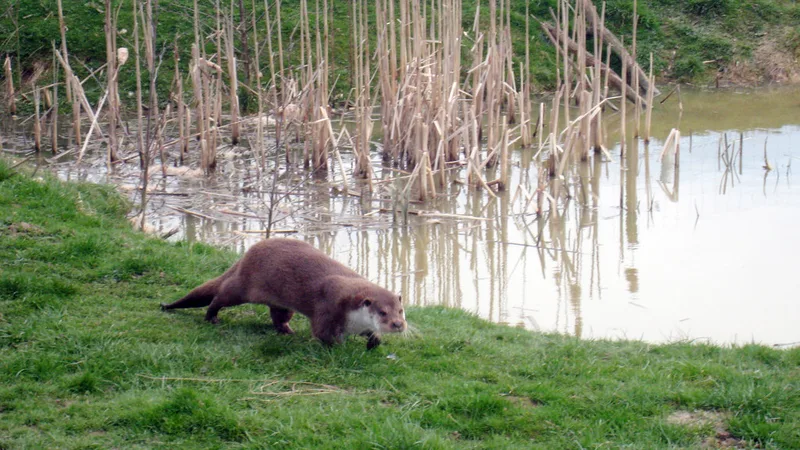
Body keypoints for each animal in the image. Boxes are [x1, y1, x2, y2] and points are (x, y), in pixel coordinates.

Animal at [161, 238, 406, 349]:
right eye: (383, 312)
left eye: (401, 311)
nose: (398, 324)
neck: (352, 317)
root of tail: (247, 254)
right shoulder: (327, 309)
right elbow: (323, 334)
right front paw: (340, 348)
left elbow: (369, 333)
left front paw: (374, 341)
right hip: (241, 288)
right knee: (219, 296)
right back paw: (211, 317)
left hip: (282, 303)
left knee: (278, 316)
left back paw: (287, 331)